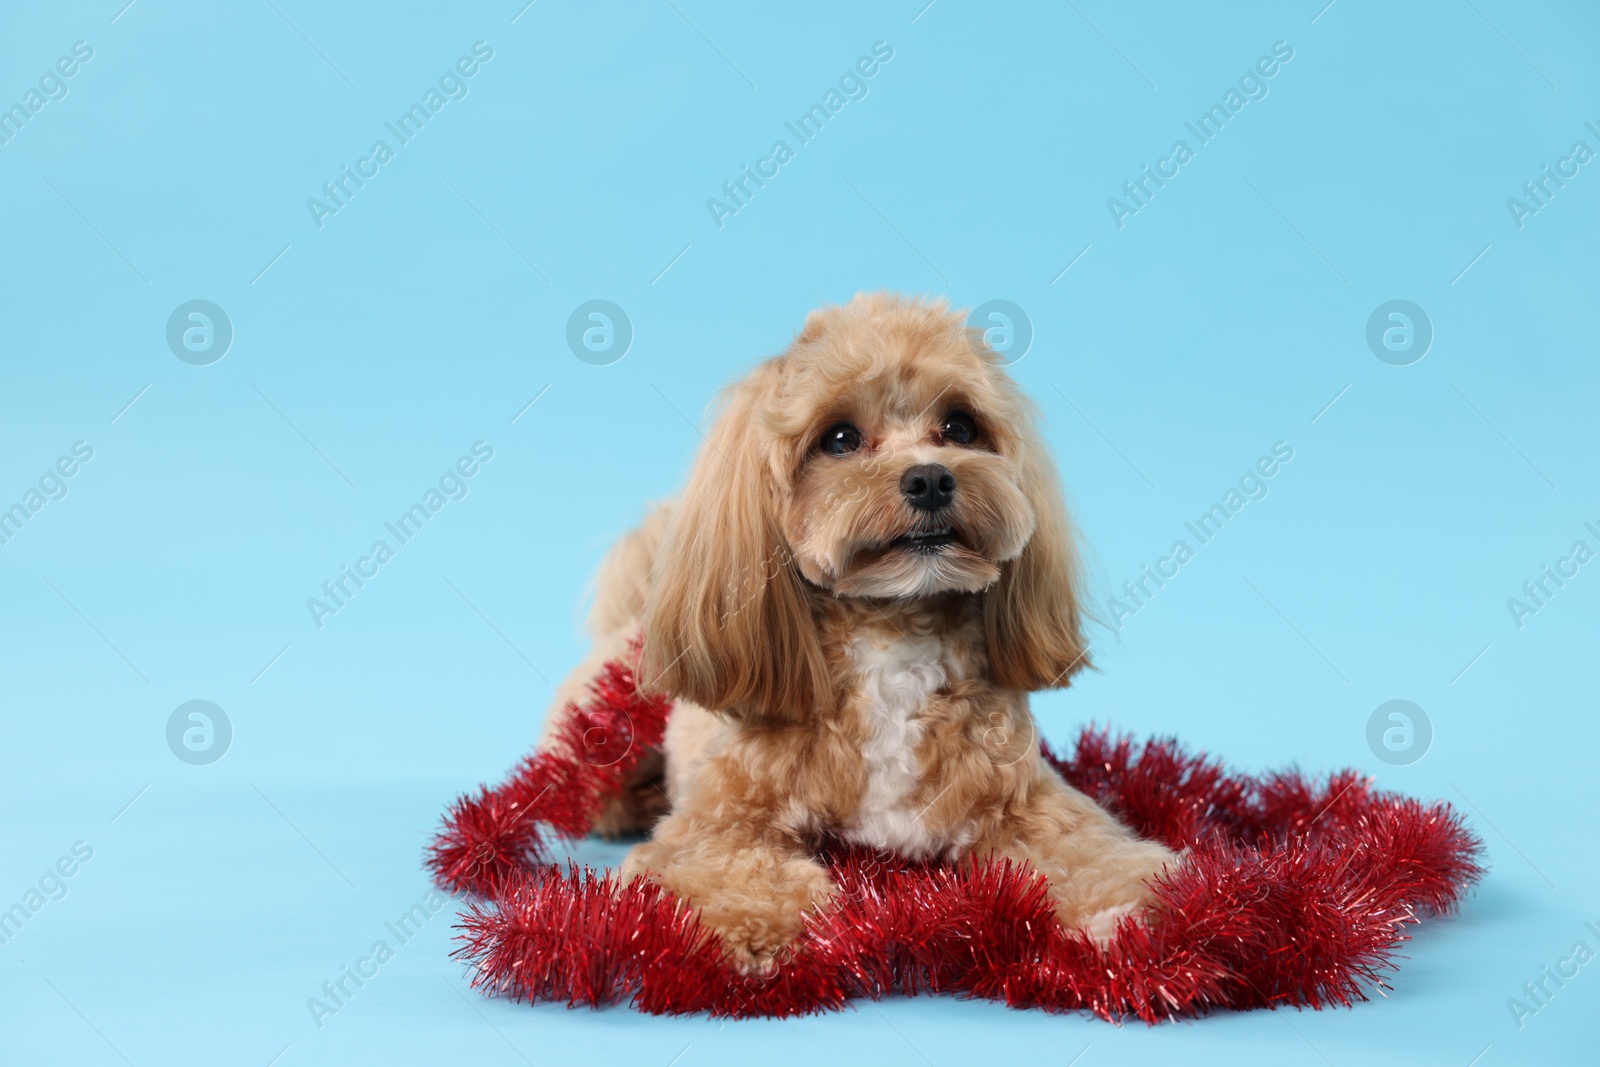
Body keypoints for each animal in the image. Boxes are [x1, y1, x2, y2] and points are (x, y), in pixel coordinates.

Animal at [544, 294, 1184, 979]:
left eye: (960, 427)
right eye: (840, 439)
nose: (930, 479)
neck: (892, 638)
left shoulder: (1027, 803)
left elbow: (1090, 850)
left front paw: (1137, 905)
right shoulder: (717, 825)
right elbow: (726, 868)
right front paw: (752, 925)